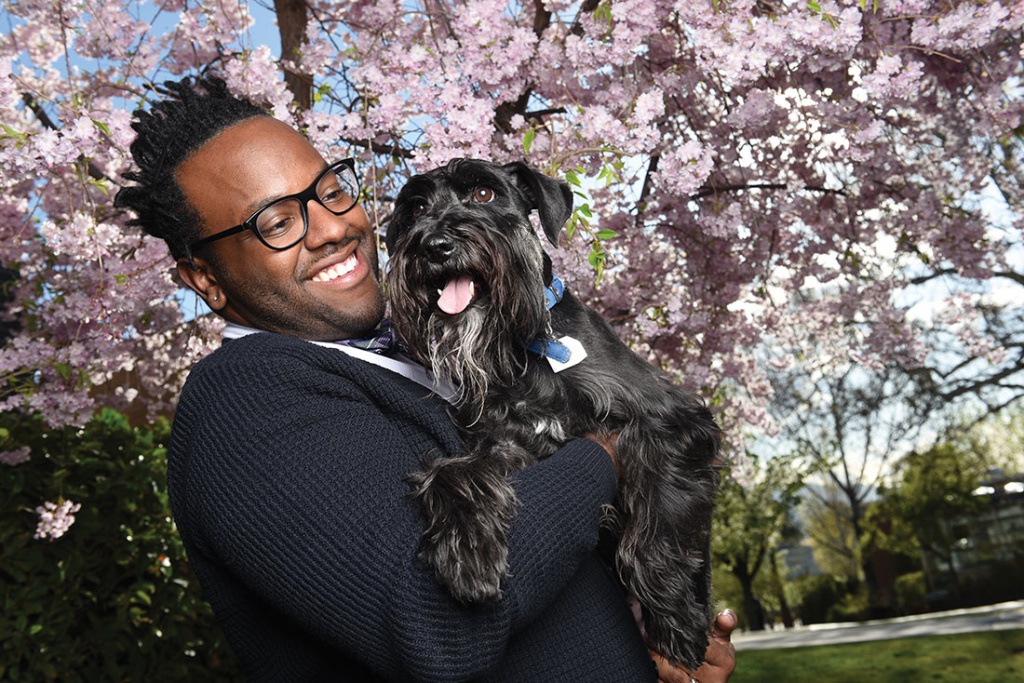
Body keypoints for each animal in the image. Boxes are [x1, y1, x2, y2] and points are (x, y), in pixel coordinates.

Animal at [385, 156, 720, 667]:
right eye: (416, 208)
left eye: (484, 193)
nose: (435, 245)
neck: (521, 349)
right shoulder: (510, 443)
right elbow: (451, 472)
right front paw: (467, 554)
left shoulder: (672, 421)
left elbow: (656, 515)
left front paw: (675, 617)